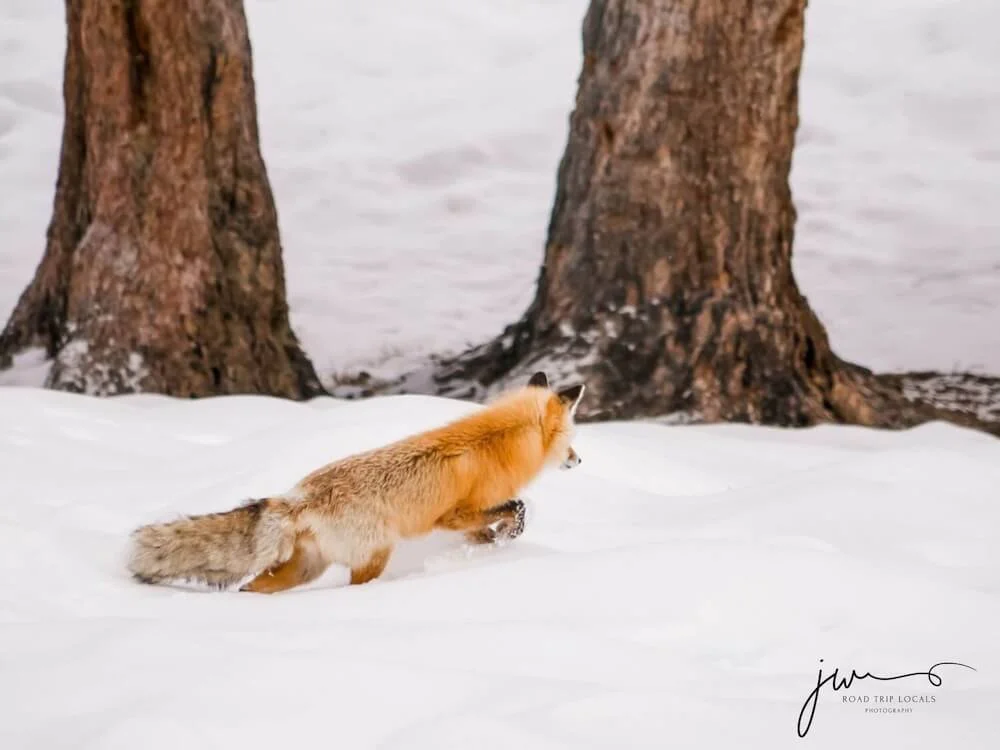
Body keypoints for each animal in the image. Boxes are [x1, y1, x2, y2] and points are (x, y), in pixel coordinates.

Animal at [127, 371, 585, 594]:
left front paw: (490, 549)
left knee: (253, 587)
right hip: (374, 556)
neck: (496, 442)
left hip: (306, 569)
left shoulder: (463, 522)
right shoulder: (454, 515)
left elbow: (488, 532)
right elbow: (516, 510)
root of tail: (298, 496)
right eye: (571, 439)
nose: (579, 460)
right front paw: (506, 538)